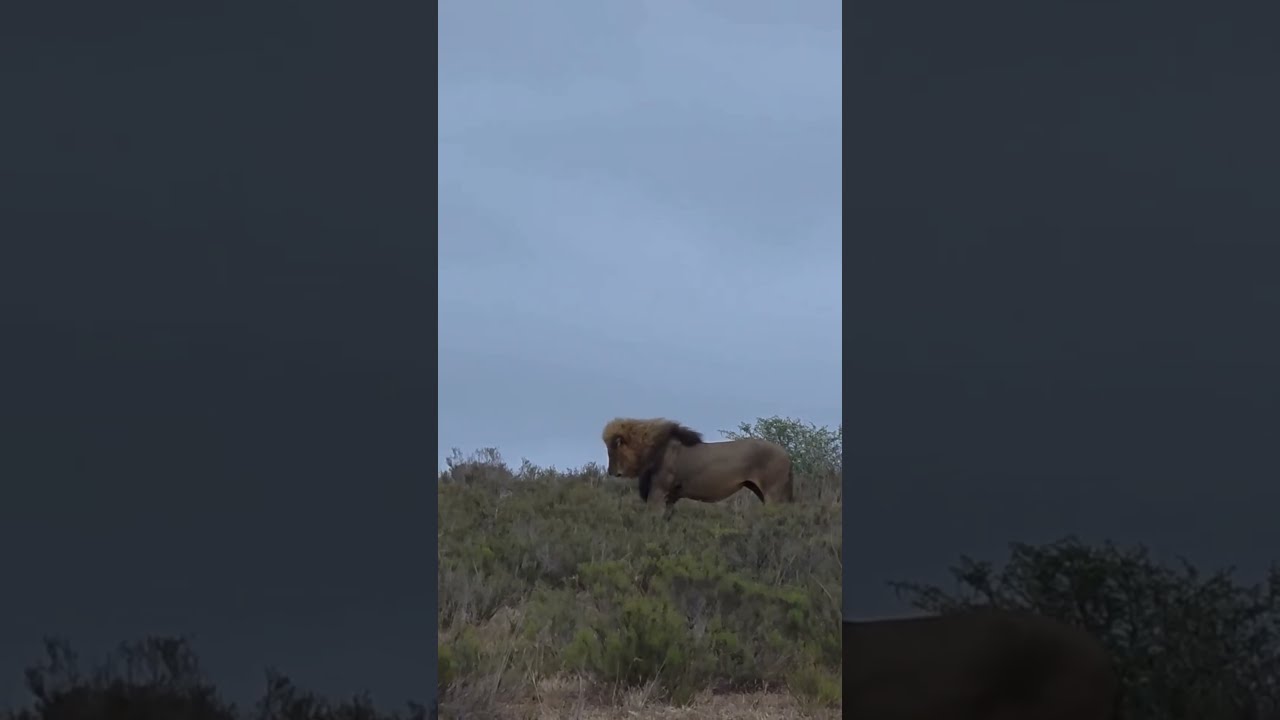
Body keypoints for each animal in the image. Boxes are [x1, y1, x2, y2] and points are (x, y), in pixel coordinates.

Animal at [601, 418, 794, 518]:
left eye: (612, 450)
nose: (611, 472)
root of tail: (786, 454)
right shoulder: (670, 497)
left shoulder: (657, 492)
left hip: (773, 493)